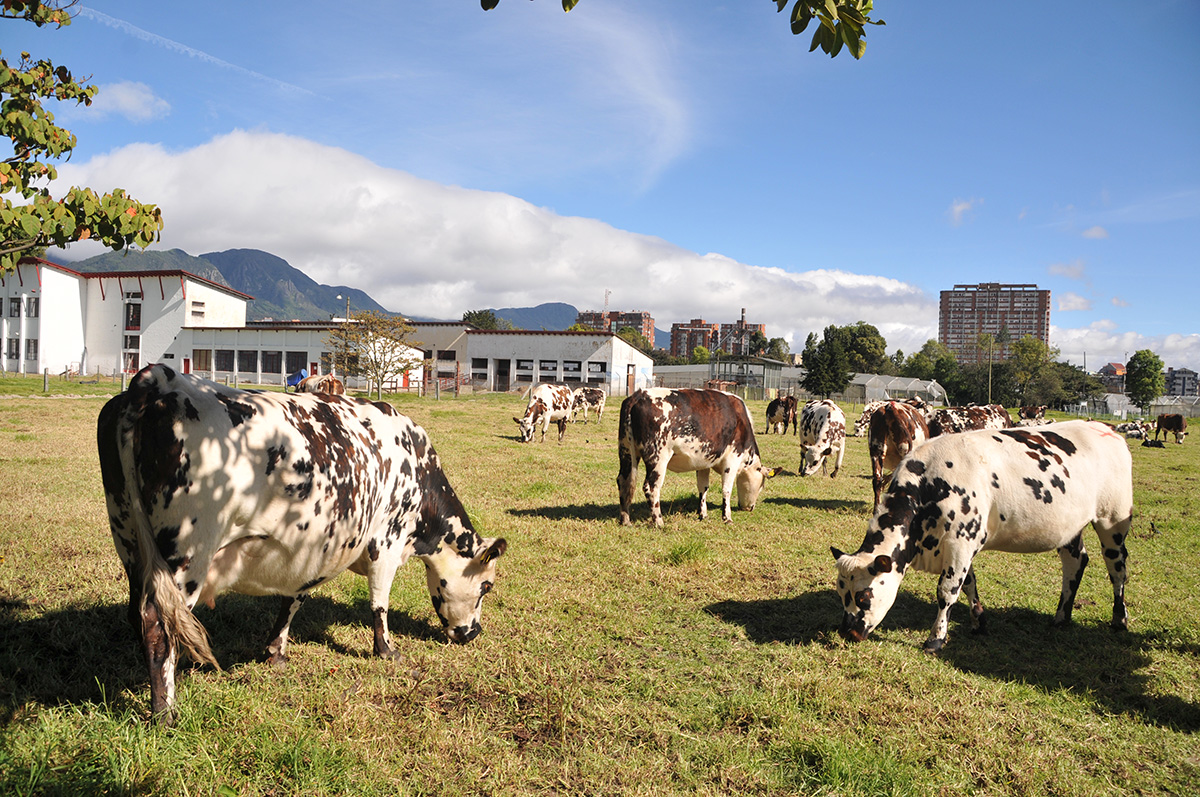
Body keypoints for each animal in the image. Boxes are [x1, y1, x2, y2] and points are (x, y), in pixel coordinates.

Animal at [96, 364, 504, 720]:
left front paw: (275, 651)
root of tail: (158, 380)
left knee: (137, 613)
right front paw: (387, 651)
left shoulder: (314, 546)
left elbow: (295, 597)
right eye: (486, 585)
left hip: (131, 541)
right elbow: (379, 604)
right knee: (159, 623)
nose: (473, 633)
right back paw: (165, 713)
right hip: (187, 554)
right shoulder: (386, 542)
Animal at [619, 386, 777, 525]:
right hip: (658, 457)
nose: (750, 508)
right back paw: (659, 522)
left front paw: (703, 514)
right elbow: (726, 489)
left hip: (626, 451)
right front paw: (727, 518)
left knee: (623, 481)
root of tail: (637, 396)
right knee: (651, 487)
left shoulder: (703, 462)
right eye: (762, 485)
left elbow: (703, 487)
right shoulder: (732, 459)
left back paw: (626, 520)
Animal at [835, 420, 1132, 652]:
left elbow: (947, 591)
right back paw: (1061, 617)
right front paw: (979, 621)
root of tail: (1107, 430)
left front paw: (935, 639)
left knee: (1117, 567)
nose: (847, 632)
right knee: (1075, 562)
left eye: (863, 597)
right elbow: (969, 584)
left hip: (1113, 519)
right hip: (1071, 526)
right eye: (841, 594)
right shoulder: (963, 545)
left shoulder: (960, 542)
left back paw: (1119, 619)